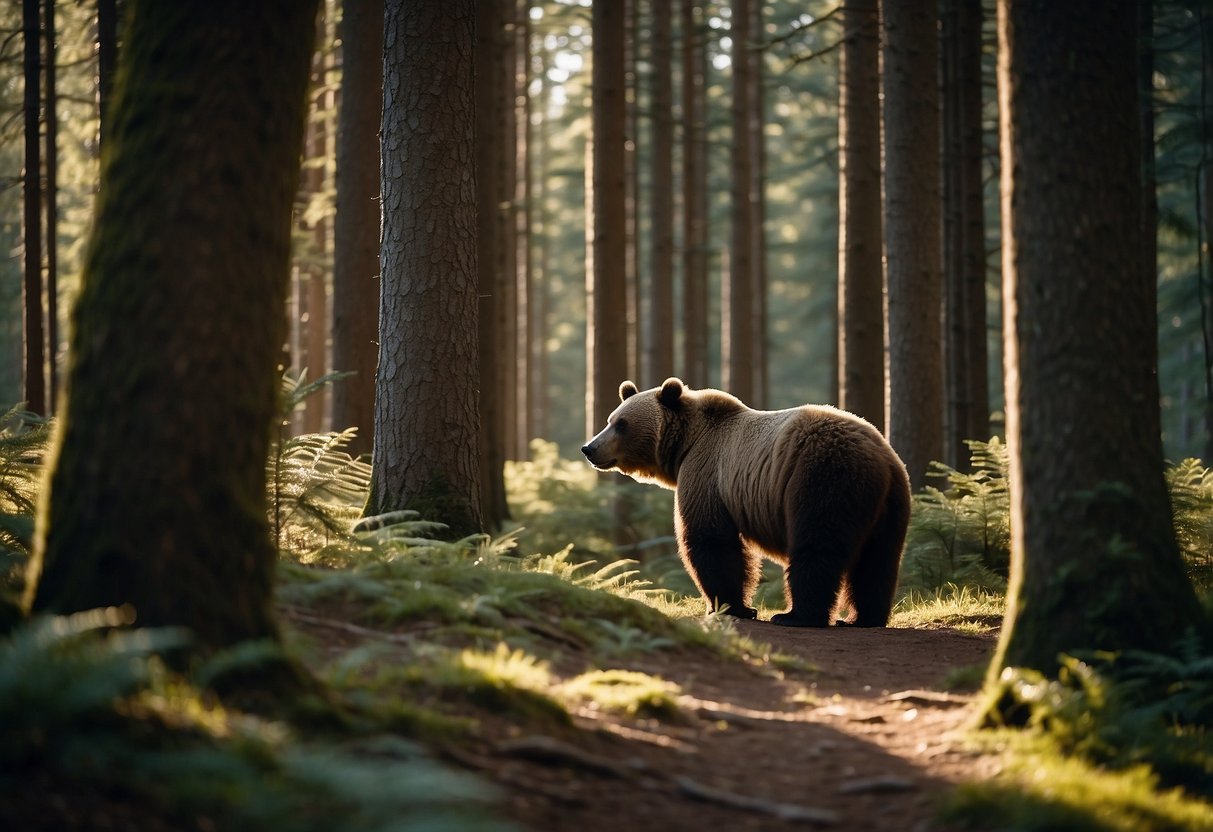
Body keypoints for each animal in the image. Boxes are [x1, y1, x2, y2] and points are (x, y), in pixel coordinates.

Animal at [579, 378, 912, 625]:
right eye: (610, 420)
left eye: (622, 424)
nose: (589, 448)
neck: (685, 444)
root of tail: (880, 459)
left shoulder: (706, 471)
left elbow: (710, 540)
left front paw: (731, 607)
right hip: (891, 502)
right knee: (879, 558)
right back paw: (864, 617)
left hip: (822, 476)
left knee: (818, 546)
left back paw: (796, 615)